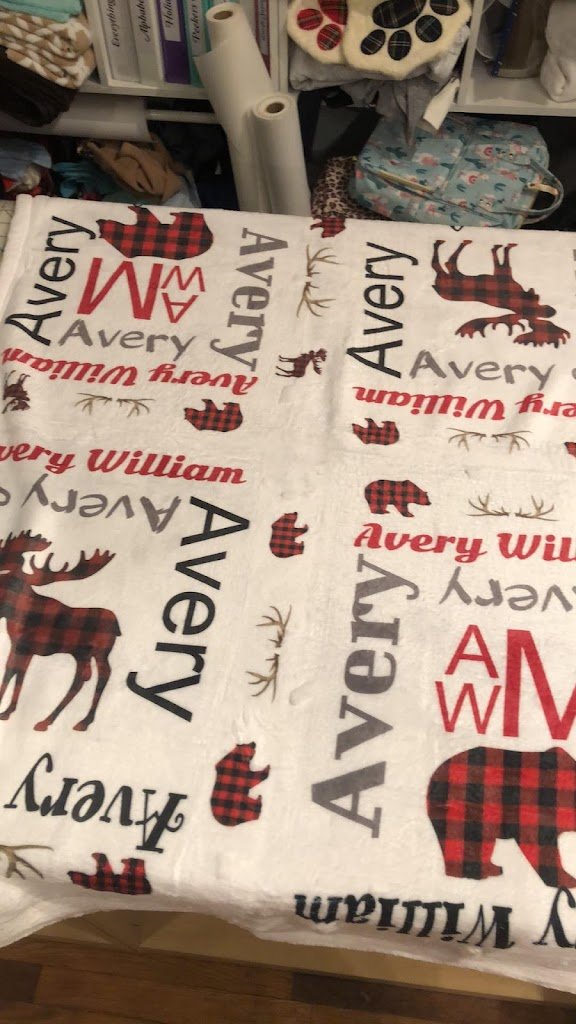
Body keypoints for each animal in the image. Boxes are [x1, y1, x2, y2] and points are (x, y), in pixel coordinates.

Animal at [0, 532, 120, 731]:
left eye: (10, 583)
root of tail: (118, 626)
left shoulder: (27, 647)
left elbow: (16, 673)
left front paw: (6, 711)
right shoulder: (18, 645)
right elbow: (13, 671)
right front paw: (6, 710)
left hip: (100, 650)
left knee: (104, 674)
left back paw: (84, 721)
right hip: (81, 653)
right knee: (81, 678)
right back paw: (47, 720)